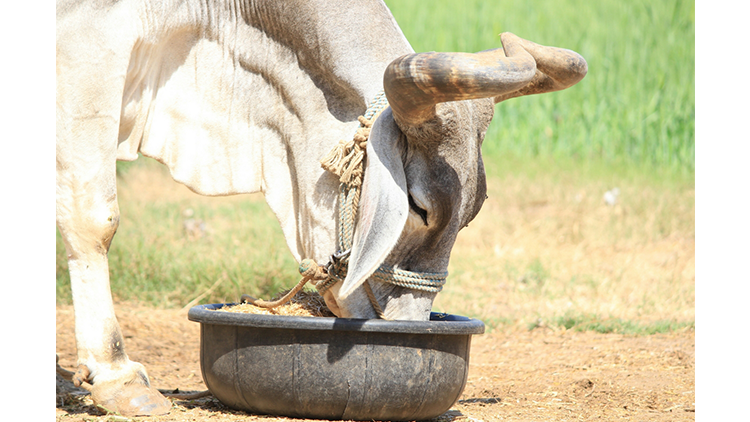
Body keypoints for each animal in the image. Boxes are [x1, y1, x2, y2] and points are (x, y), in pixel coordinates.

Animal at [57, 0, 588, 416]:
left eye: (472, 214)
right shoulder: (87, 48)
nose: (407, 323)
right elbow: (95, 218)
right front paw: (117, 376)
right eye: (418, 208)